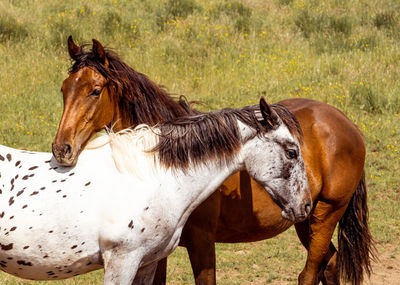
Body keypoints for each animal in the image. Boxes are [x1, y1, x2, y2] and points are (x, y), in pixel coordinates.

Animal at [52, 36, 376, 284]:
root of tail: (346, 124)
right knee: (330, 265)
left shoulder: (202, 242)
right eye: (64, 89)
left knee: (310, 273)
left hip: (324, 216)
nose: (61, 149)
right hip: (304, 220)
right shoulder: (154, 250)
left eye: (95, 91)